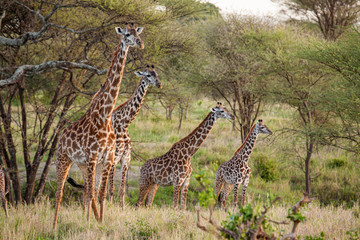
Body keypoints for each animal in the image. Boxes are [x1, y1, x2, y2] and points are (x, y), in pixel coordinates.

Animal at [53, 23, 143, 229]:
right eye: (127, 34)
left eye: (138, 33)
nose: (140, 43)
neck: (105, 116)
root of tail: (61, 136)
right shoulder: (93, 156)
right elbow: (94, 194)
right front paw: (89, 224)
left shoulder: (107, 157)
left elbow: (100, 194)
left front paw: (100, 222)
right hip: (63, 159)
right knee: (60, 192)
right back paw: (53, 227)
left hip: (82, 164)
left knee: (87, 189)